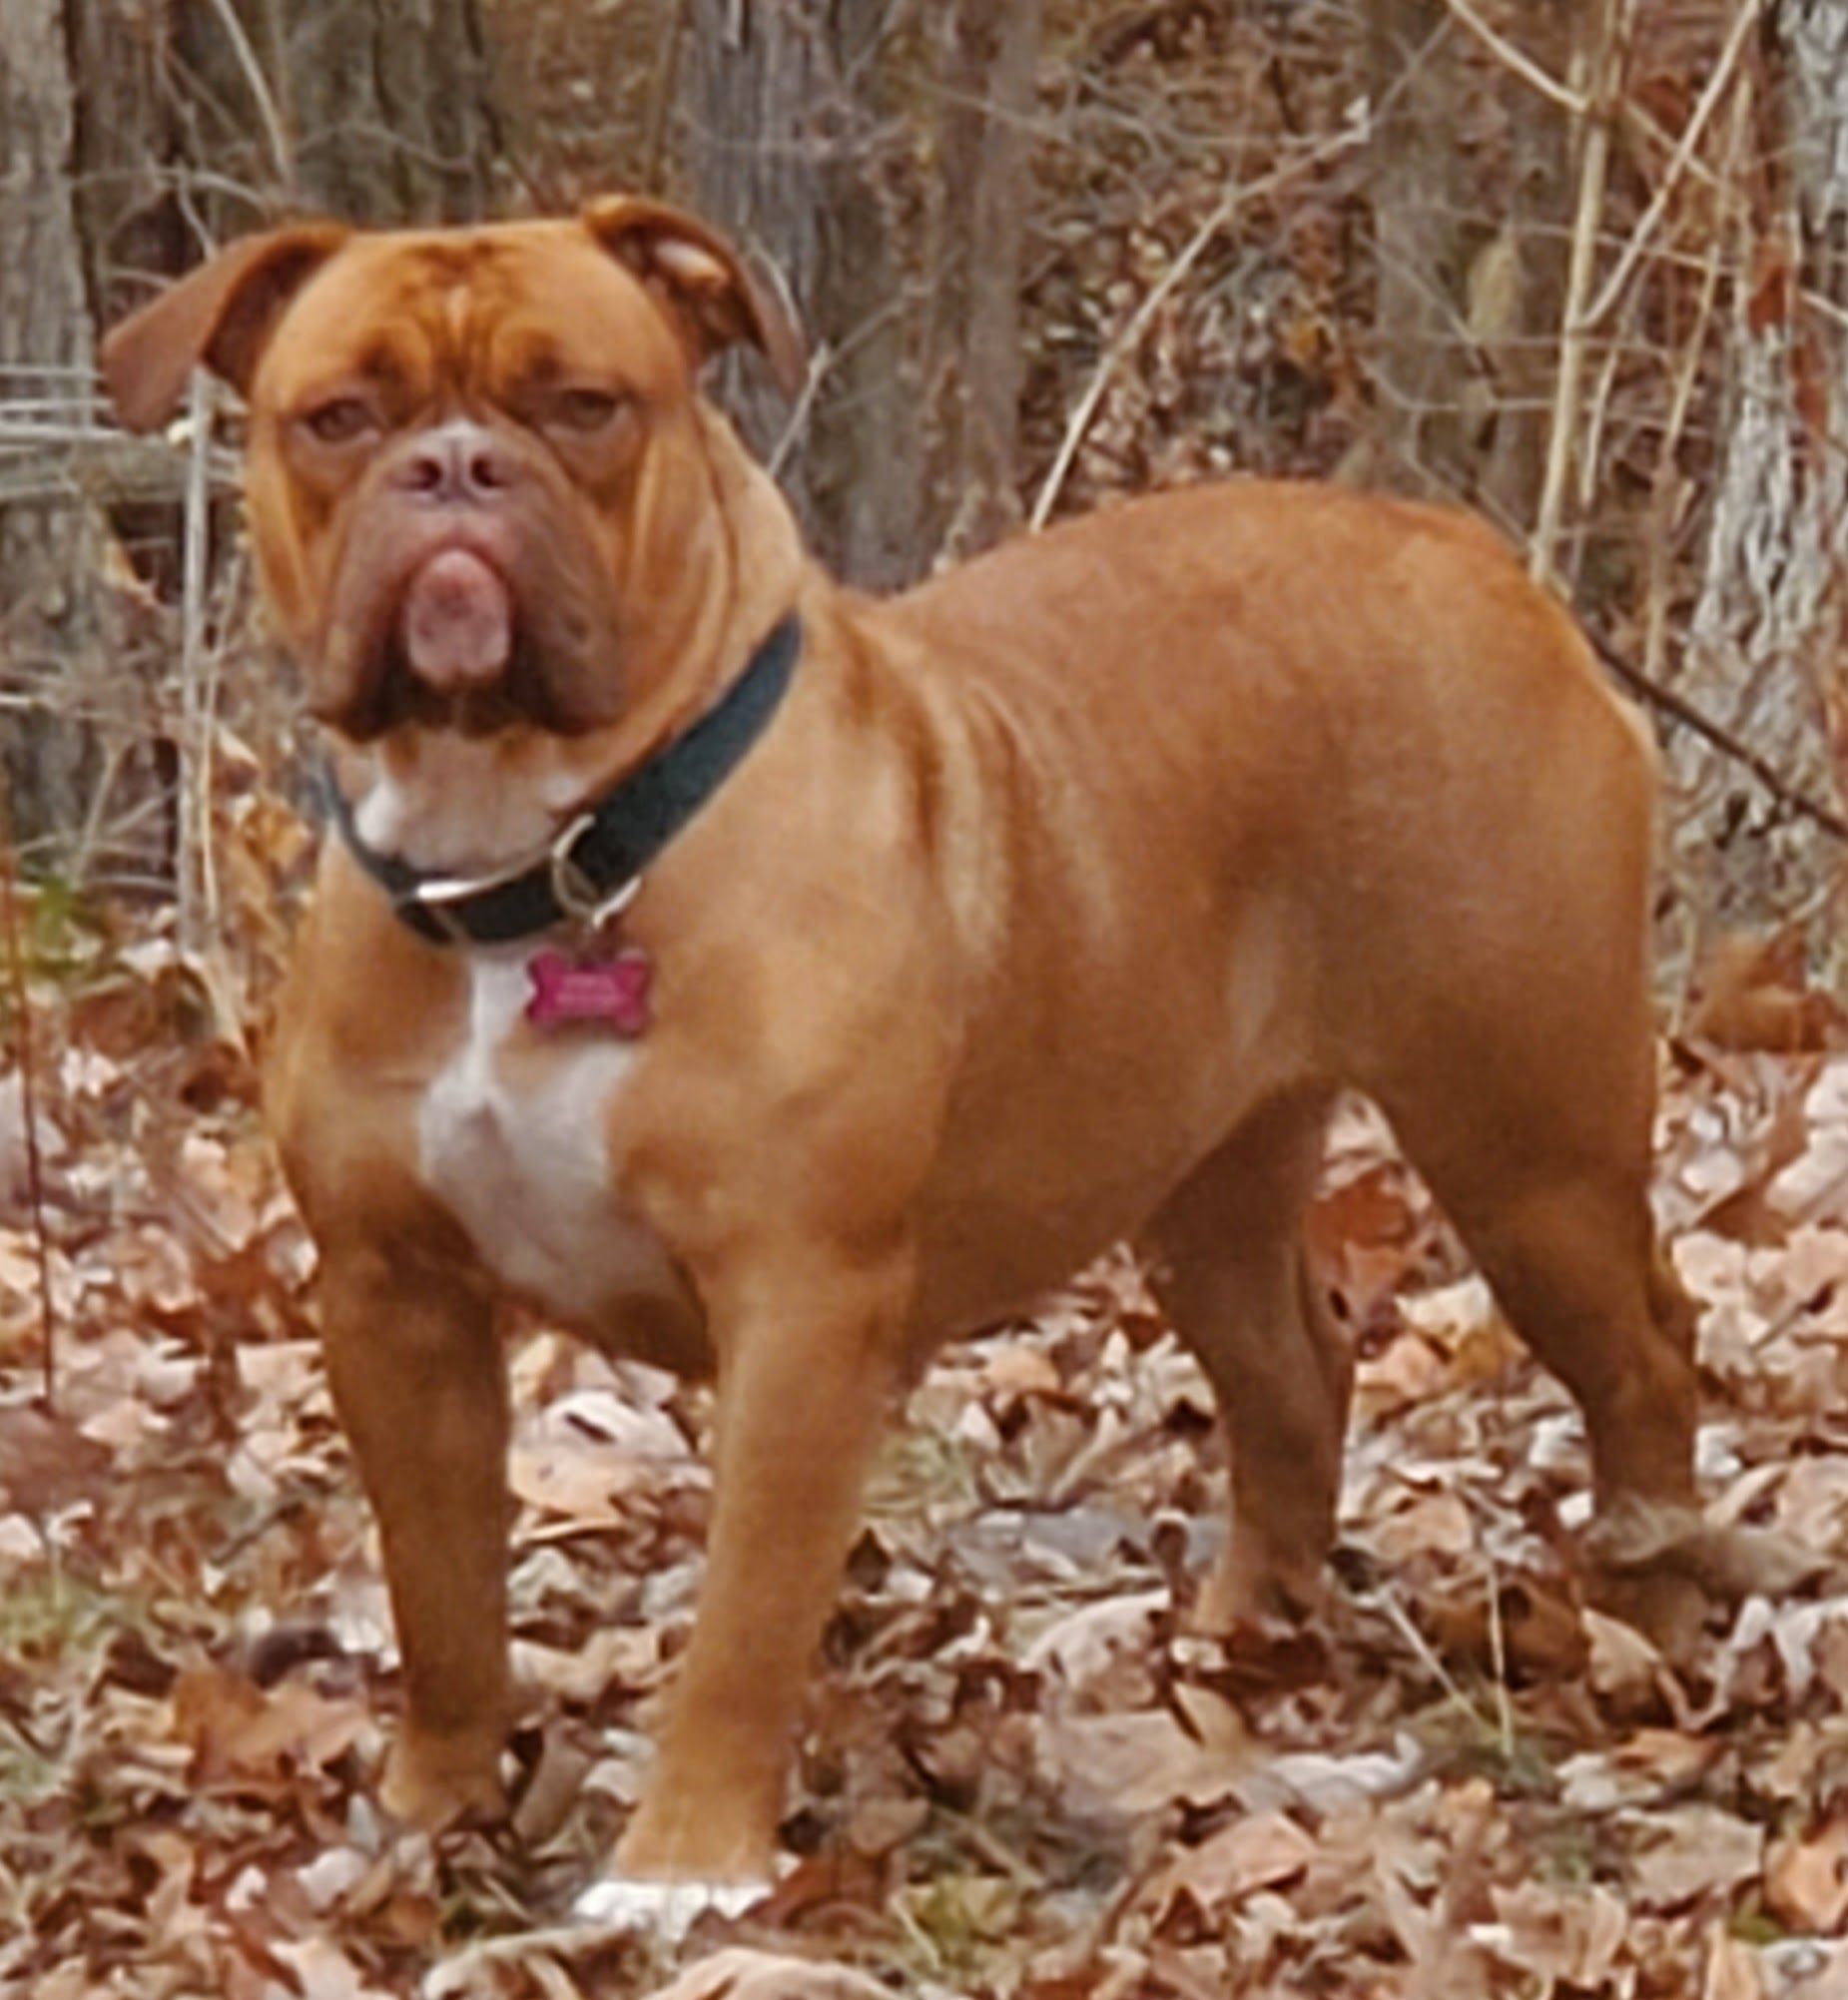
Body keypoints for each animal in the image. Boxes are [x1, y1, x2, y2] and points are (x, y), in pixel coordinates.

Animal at [102, 198, 1752, 1915]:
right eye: (338, 417)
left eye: (583, 405)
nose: (452, 466)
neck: (551, 854)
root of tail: (1482, 564)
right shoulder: (390, 1294)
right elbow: (438, 1595)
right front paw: (432, 1815)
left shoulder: (800, 1308)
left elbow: (742, 1618)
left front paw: (683, 1864)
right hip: (1205, 1181)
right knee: (1290, 1368)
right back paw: (1244, 1636)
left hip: (1523, 1145)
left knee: (1641, 1352)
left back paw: (1651, 1606)